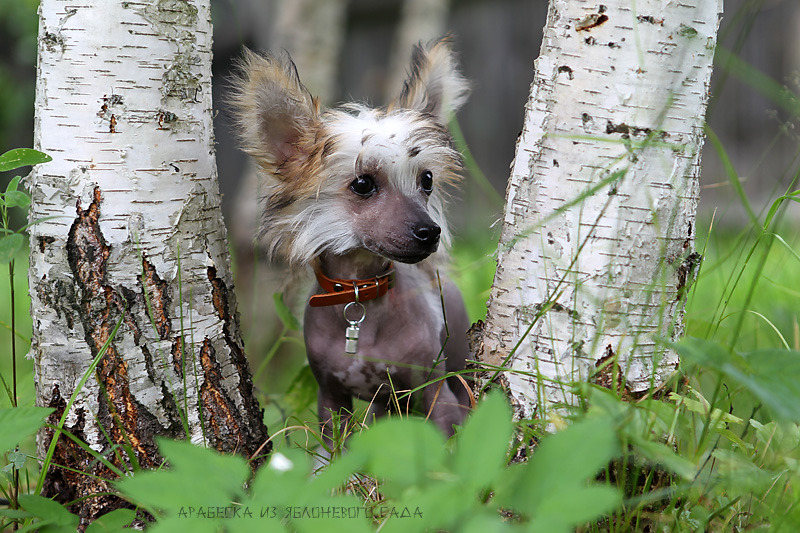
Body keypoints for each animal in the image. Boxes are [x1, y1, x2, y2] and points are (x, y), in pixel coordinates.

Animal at [228, 38, 472, 444]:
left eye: (426, 180)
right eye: (362, 184)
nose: (430, 232)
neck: (360, 292)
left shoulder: (437, 395)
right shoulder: (331, 401)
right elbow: (335, 454)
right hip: (383, 406)